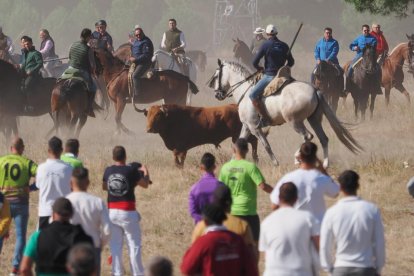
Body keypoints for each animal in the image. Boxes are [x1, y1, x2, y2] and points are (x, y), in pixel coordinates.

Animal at [209, 60, 360, 167]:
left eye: (216, 76)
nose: (217, 94)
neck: (244, 91)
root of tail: (314, 90)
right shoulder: (247, 127)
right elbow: (238, 143)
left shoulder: (254, 127)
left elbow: (266, 145)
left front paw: (276, 163)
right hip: (314, 120)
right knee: (323, 139)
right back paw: (325, 164)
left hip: (294, 121)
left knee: (307, 136)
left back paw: (298, 159)